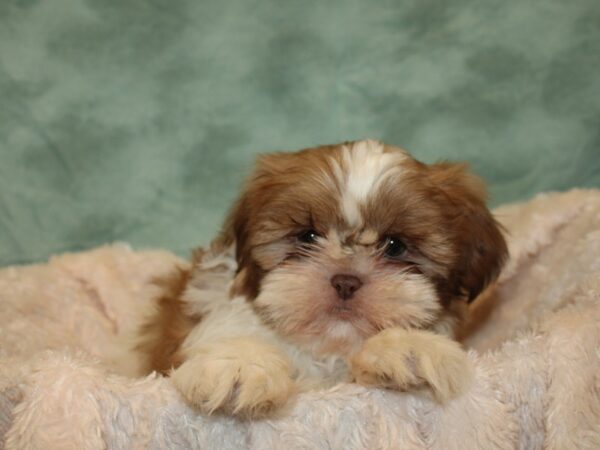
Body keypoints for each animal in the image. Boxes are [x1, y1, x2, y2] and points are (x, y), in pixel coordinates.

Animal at [136, 140, 506, 418]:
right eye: (308, 236)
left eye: (395, 246)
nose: (345, 280)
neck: (328, 349)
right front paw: (240, 364)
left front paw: (407, 347)